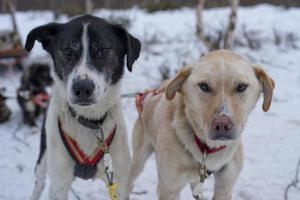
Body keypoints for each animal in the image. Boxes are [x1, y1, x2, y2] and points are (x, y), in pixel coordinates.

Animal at [24, 14, 141, 199]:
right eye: (67, 50)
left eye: (103, 50)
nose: (82, 88)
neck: (90, 121)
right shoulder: (59, 186)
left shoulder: (119, 183)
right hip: (43, 158)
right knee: (40, 183)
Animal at [127, 49, 276, 200]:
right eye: (204, 86)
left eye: (241, 86)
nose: (222, 124)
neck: (207, 149)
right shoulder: (169, 189)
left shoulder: (224, 188)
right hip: (139, 159)